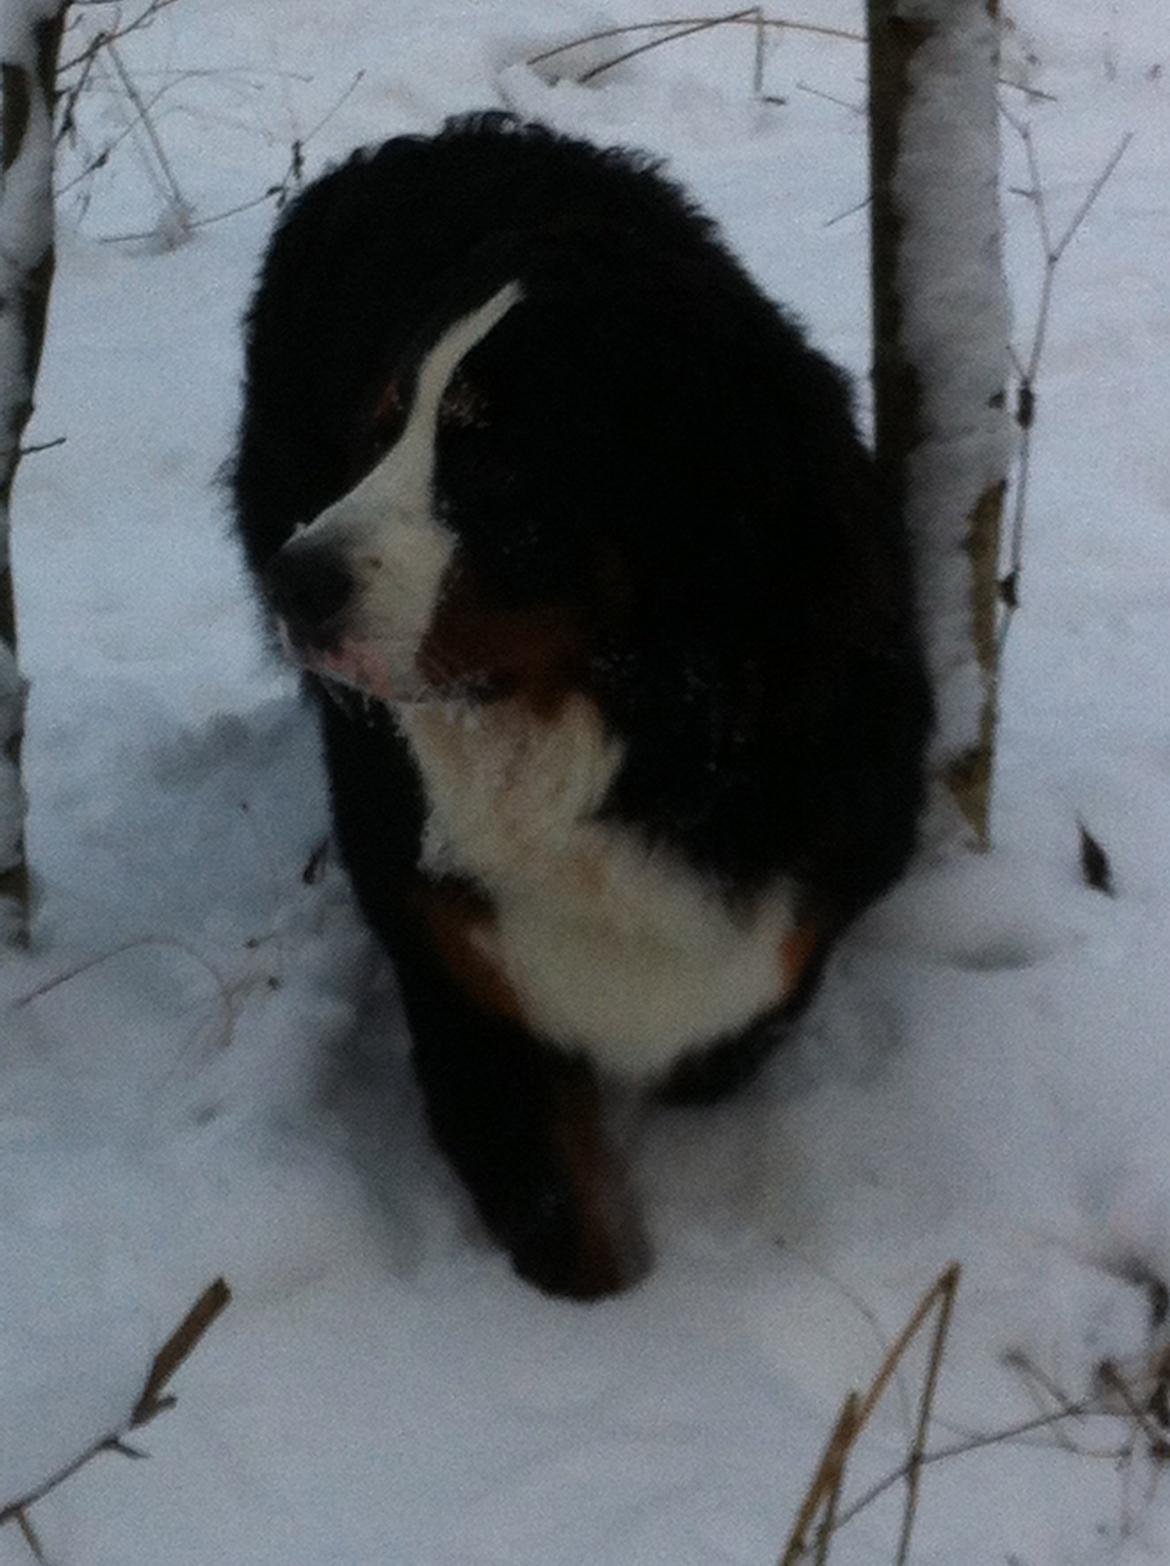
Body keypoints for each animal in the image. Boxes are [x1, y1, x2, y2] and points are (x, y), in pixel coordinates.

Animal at [233, 115, 933, 1302]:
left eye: (497, 457)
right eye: (383, 431)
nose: (295, 583)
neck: (625, 736)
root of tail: (418, 142)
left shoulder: (804, 909)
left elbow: (719, 1040)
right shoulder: (464, 972)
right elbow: (563, 1223)